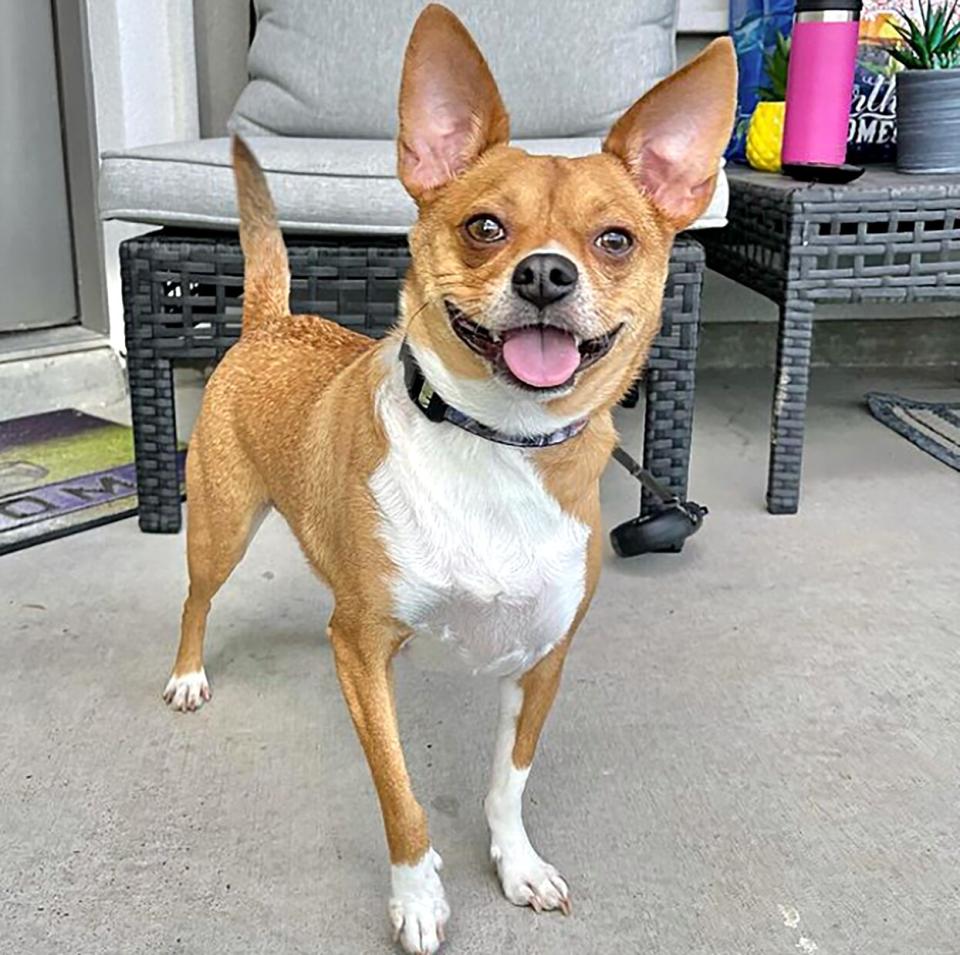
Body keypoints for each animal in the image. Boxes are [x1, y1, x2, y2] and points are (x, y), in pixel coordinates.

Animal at [163, 5, 736, 948]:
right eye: (485, 227)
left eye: (614, 239)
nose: (546, 272)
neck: (498, 443)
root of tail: (271, 321)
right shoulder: (364, 654)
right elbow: (402, 797)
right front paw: (418, 894)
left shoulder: (543, 660)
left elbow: (509, 782)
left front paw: (517, 863)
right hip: (221, 527)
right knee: (196, 599)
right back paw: (186, 673)